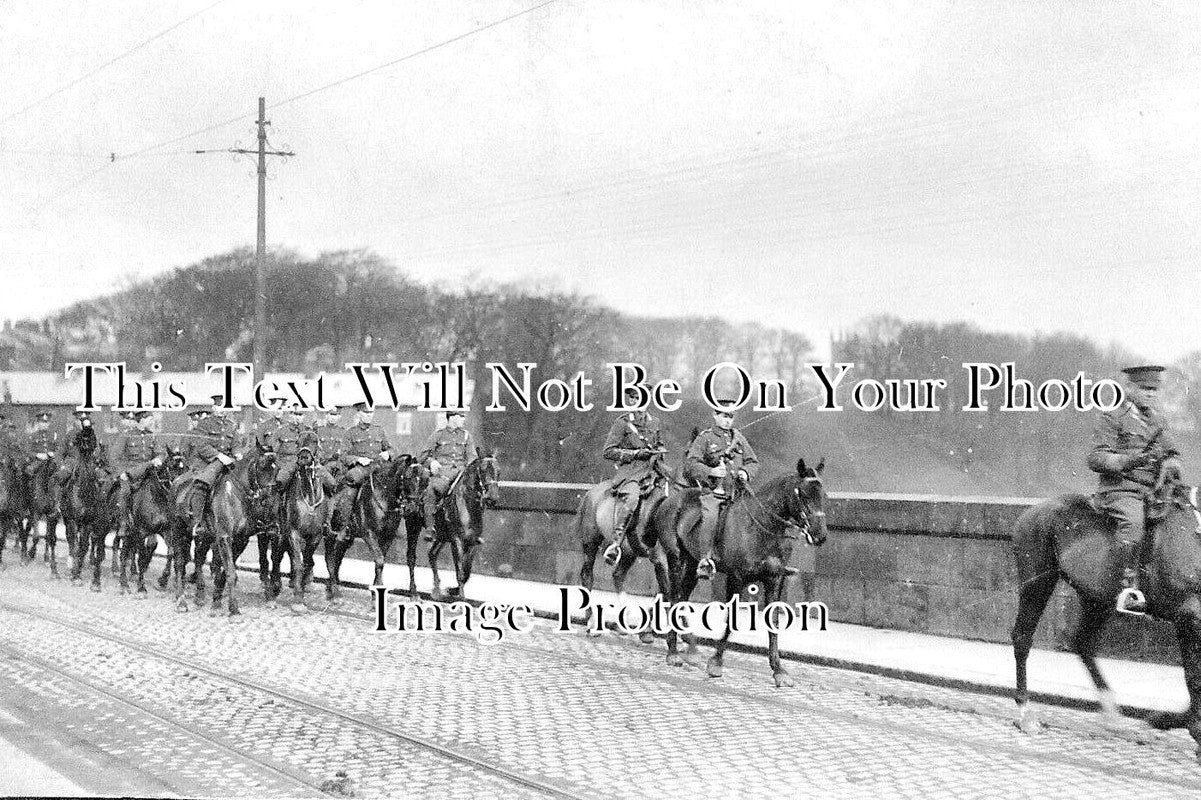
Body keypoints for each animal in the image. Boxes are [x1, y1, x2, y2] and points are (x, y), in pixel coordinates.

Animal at [427, 454, 497, 598]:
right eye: (483, 471)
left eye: (498, 471)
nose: (492, 498)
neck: (467, 506)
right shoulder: (456, 541)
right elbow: (459, 571)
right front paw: (461, 597)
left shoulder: (472, 542)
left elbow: (466, 571)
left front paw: (453, 590)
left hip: (441, 538)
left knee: (432, 554)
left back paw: (436, 590)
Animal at [658, 454, 826, 687]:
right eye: (803, 494)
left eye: (823, 495)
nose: (820, 535)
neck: (764, 527)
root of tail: (671, 500)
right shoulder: (737, 578)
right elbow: (731, 620)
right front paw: (716, 662)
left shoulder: (774, 579)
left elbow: (773, 622)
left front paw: (779, 670)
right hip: (676, 559)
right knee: (673, 598)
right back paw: (673, 652)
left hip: (692, 565)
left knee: (682, 597)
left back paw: (689, 648)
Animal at [1008, 473, 1201, 749]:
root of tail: (1031, 512)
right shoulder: (1189, 615)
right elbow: (1193, 675)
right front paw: (1190, 726)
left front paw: (1167, 719)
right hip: (1036, 582)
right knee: (1023, 637)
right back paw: (1025, 713)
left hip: (1095, 599)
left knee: (1082, 642)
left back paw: (1111, 712)